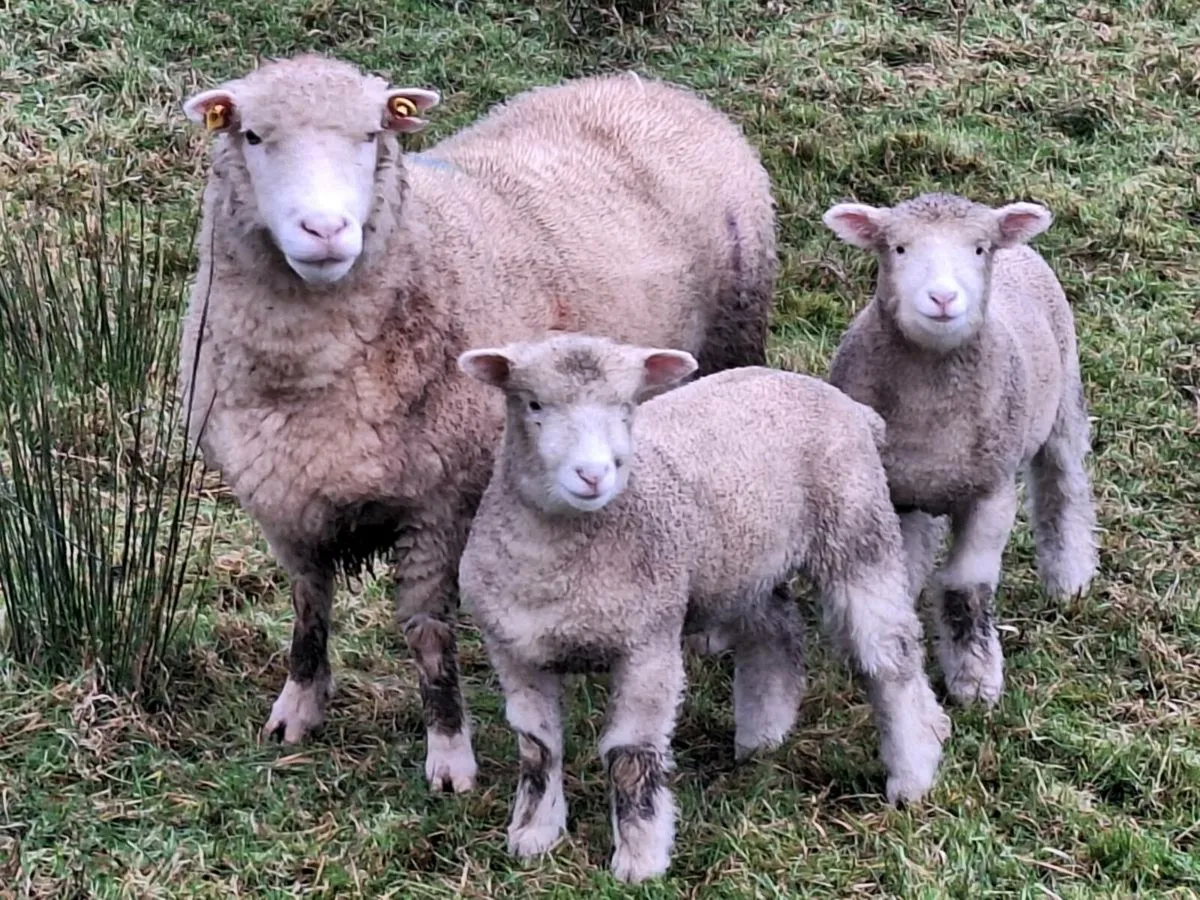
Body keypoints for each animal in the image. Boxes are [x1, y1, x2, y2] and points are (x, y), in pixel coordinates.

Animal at [177, 53, 778, 793]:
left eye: (372, 134)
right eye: (254, 136)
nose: (325, 231)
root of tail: (649, 85)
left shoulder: (437, 503)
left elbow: (428, 633)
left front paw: (449, 754)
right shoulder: (283, 500)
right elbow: (308, 604)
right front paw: (299, 706)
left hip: (733, 336)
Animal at [456, 332, 951, 883]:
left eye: (626, 407)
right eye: (534, 404)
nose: (593, 475)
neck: (559, 565)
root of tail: (847, 404)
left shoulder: (648, 642)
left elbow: (630, 754)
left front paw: (639, 859)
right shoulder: (513, 651)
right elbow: (538, 748)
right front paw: (533, 835)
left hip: (857, 533)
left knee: (890, 656)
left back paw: (914, 767)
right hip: (745, 560)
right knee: (776, 631)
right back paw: (764, 736)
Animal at [822, 192, 1099, 707]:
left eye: (979, 249)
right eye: (899, 248)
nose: (944, 298)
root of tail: (1021, 248)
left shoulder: (992, 492)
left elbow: (967, 587)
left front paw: (975, 678)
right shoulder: (895, 492)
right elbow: (903, 578)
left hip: (1063, 397)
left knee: (1064, 484)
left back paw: (1069, 575)